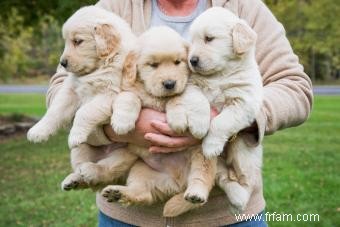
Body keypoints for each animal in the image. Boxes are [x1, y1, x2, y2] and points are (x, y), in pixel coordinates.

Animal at [26, 5, 138, 190]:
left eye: (78, 41)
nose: (62, 63)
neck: (99, 66)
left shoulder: (109, 94)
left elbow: (84, 112)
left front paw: (75, 135)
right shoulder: (70, 91)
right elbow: (55, 111)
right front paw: (38, 131)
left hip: (126, 153)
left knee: (107, 170)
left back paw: (91, 171)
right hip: (80, 151)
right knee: (84, 172)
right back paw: (74, 179)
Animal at [101, 26, 215, 216]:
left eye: (177, 62)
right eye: (153, 65)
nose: (169, 83)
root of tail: (178, 183)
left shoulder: (184, 87)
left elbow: (176, 98)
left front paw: (177, 119)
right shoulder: (128, 88)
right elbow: (129, 97)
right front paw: (122, 122)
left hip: (203, 155)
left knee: (202, 178)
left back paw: (196, 194)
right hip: (140, 169)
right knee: (143, 194)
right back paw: (118, 193)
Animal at [189, 7, 262, 213]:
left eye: (209, 38)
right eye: (192, 41)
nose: (192, 60)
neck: (220, 74)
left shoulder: (244, 101)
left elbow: (221, 122)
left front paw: (211, 145)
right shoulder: (192, 84)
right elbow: (198, 101)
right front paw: (199, 125)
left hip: (243, 153)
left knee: (246, 181)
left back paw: (240, 201)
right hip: (210, 162)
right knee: (222, 177)